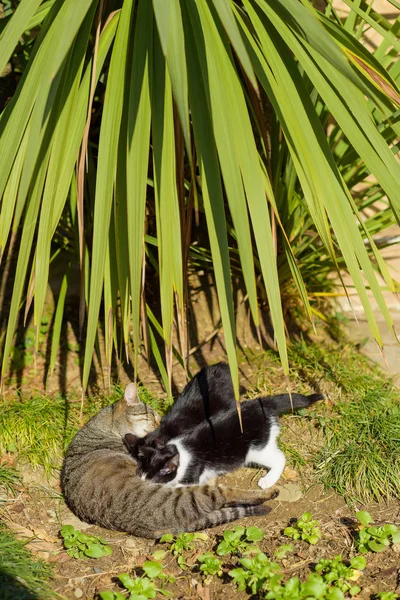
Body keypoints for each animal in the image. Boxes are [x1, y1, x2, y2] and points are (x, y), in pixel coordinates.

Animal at [126, 392, 324, 490]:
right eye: (141, 472)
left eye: (154, 477)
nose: (142, 482)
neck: (178, 452)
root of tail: (262, 403)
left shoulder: (192, 475)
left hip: (256, 449)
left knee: (280, 458)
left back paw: (268, 480)